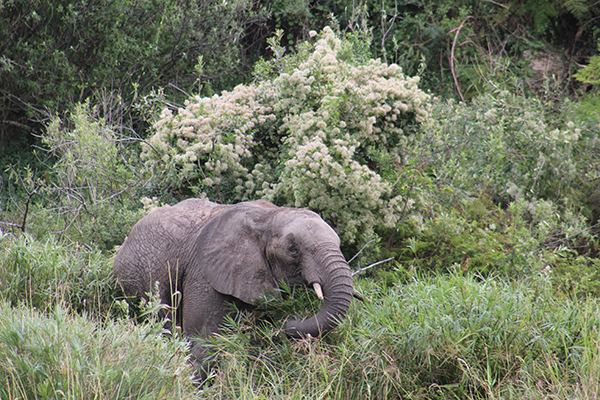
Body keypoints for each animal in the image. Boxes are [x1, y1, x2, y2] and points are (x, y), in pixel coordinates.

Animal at [113, 198, 352, 376]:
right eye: (293, 250)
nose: (288, 323)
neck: (269, 216)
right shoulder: (204, 273)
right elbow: (206, 342)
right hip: (137, 278)